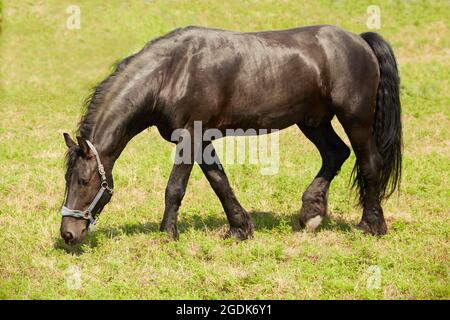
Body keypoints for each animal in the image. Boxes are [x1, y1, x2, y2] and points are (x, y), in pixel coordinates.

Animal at [59, 25, 400, 245]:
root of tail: (359, 41)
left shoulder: (190, 138)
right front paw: (240, 228)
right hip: (314, 122)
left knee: (369, 164)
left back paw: (371, 225)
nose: (68, 233)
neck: (171, 73)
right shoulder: (202, 141)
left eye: (85, 181)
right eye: (67, 179)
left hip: (355, 119)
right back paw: (311, 213)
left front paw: (167, 234)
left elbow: (175, 188)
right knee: (335, 154)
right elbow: (219, 182)